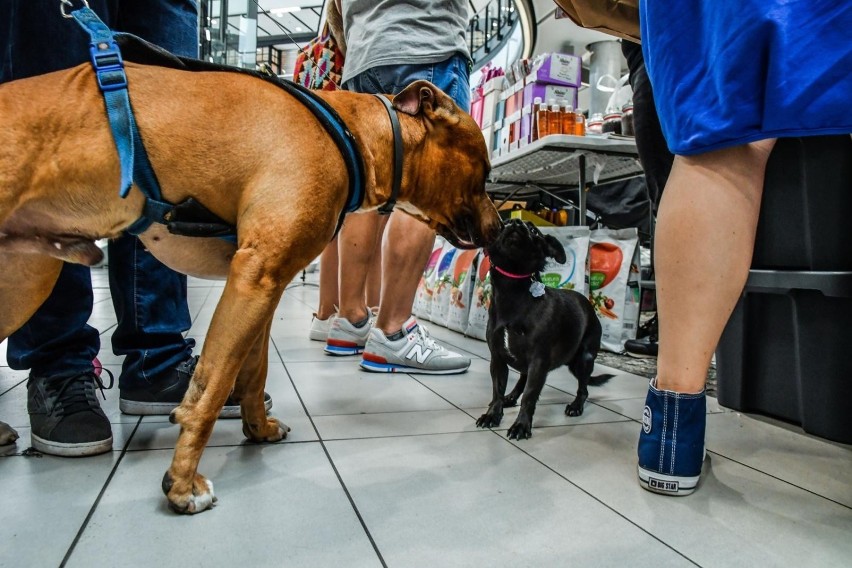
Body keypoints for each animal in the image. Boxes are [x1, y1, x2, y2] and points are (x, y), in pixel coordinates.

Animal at [0, 50, 500, 510]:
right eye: (485, 171)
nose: (500, 228)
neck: (354, 135)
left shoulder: (265, 287)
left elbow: (253, 371)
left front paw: (257, 429)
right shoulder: (255, 279)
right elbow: (212, 387)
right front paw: (182, 483)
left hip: (26, 277)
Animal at [476, 220, 608, 442]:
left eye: (534, 231)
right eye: (503, 224)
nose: (515, 222)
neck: (513, 291)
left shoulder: (538, 361)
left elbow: (530, 395)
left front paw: (521, 425)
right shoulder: (498, 359)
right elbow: (497, 390)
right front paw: (493, 414)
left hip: (583, 360)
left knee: (583, 389)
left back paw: (576, 406)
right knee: (521, 378)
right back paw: (511, 397)